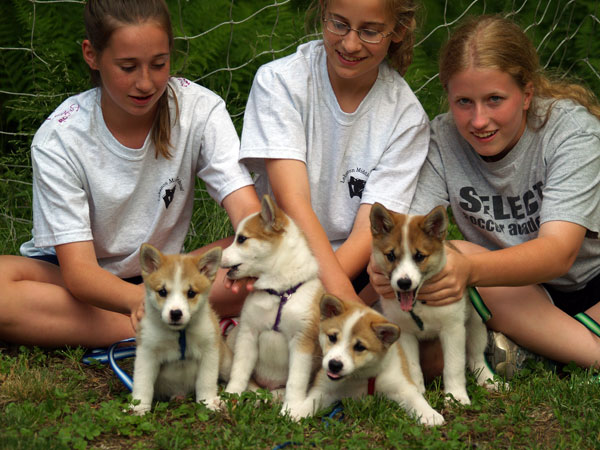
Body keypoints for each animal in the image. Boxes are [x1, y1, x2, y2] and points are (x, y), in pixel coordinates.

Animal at [129, 244, 232, 416]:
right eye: (162, 292)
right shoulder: (147, 352)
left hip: (224, 362)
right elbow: (143, 384)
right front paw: (138, 407)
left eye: (191, 293)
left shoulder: (209, 351)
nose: (176, 313)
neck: (180, 333)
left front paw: (208, 403)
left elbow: (206, 381)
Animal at [221, 195, 324, 414]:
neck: (279, 292)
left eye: (241, 239)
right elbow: (239, 372)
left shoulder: (302, 343)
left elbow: (296, 382)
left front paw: (290, 410)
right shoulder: (248, 335)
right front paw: (231, 396)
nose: (217, 254)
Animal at [290, 296, 446, 426]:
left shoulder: (401, 384)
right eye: (332, 337)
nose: (334, 365)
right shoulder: (324, 388)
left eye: (360, 347)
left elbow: (415, 398)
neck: (362, 376)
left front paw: (429, 414)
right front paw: (297, 412)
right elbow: (312, 400)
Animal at [370, 204, 496, 404]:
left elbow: (454, 366)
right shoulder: (405, 333)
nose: (404, 283)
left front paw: (456, 396)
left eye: (419, 256)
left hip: (476, 323)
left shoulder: (452, 329)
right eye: (390, 255)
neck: (420, 305)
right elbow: (412, 365)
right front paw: (416, 390)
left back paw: (489, 379)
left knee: (476, 356)